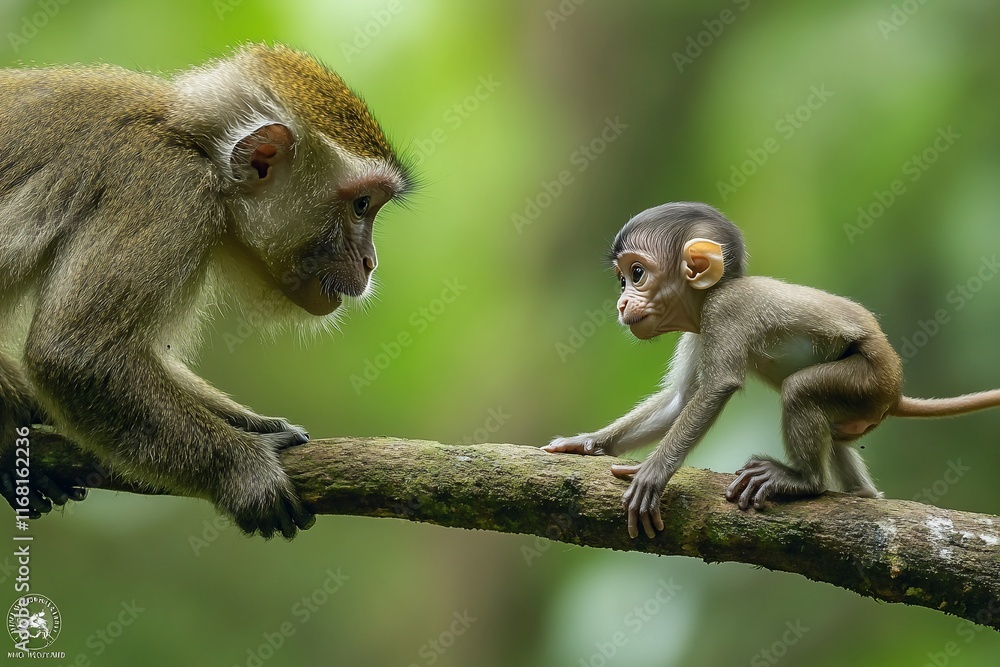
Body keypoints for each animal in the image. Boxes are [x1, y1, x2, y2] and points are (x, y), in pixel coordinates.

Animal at [0, 44, 413, 539]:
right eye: (361, 205)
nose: (371, 262)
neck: (191, 145)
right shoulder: (171, 192)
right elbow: (73, 355)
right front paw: (244, 471)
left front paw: (251, 425)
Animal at [544, 202, 1000, 539]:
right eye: (621, 280)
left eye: (636, 274)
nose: (622, 304)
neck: (715, 291)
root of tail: (896, 390)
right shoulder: (697, 331)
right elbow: (679, 402)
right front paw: (587, 444)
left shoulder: (723, 312)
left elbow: (716, 389)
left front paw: (653, 476)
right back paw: (862, 493)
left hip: (869, 378)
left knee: (800, 390)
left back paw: (804, 481)